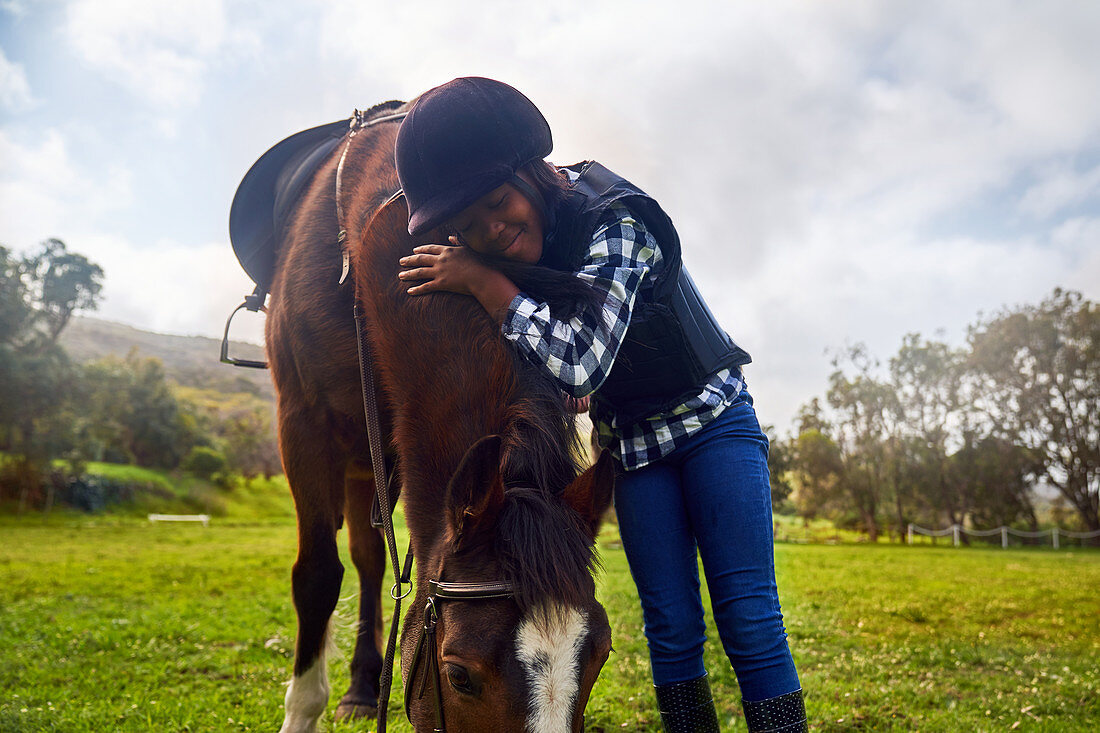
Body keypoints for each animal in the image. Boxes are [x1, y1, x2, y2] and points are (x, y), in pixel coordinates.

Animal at [259, 100, 620, 726]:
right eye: (458, 674)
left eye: (599, 655)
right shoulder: (301, 422)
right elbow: (318, 577)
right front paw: (302, 713)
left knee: (371, 561)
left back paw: (364, 685)